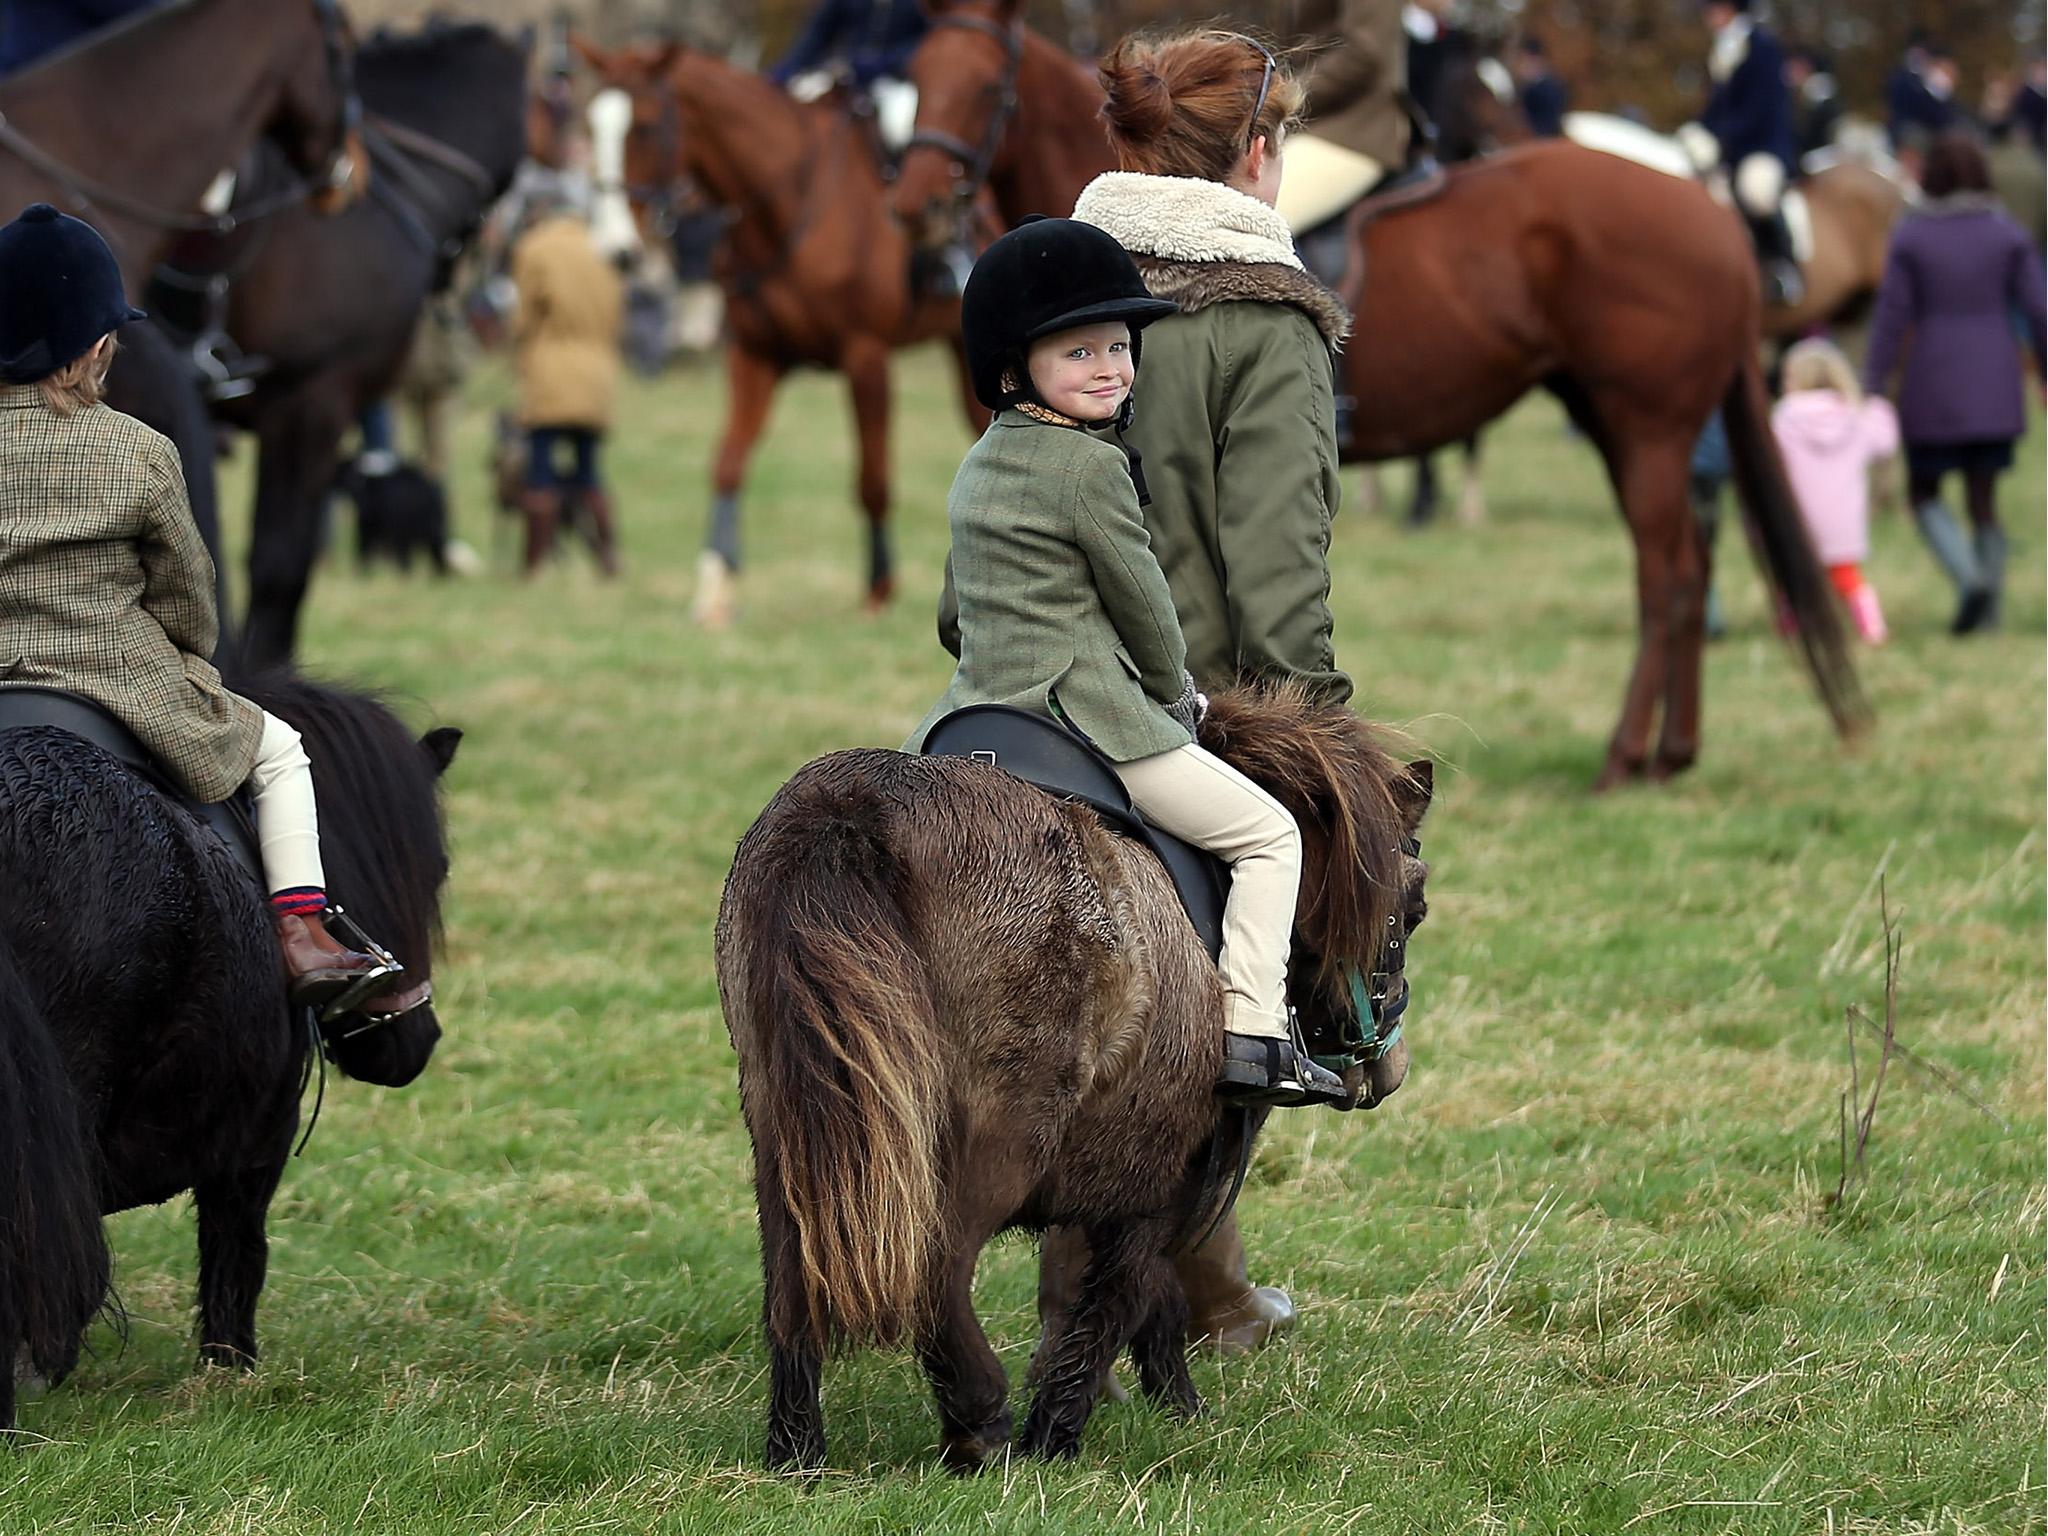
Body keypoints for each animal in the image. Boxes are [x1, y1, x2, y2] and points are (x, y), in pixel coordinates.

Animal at [569, 43, 983, 630]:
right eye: (590, 125)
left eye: (644, 128)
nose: (614, 249)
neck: (788, 209)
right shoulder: (755, 356)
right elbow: (727, 463)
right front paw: (715, 588)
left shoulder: (866, 359)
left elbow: (872, 480)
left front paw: (878, 591)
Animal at [729, 692, 1433, 1474]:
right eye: (1415, 907)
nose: (1389, 1067)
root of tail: (853, 810)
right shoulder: (1164, 1179)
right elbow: (1119, 1302)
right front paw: (1060, 1433)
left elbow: (1139, 1301)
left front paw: (1171, 1407)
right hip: (989, 1149)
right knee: (937, 1269)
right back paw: (981, 1424)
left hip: (792, 1134)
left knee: (792, 1277)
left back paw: (797, 1449)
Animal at [888, 0, 1867, 794]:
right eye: (916, 75)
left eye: (986, 84)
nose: (916, 209)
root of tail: (1712, 211)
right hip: (1613, 418)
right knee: (1687, 565)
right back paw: (1671, 754)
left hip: (1649, 423)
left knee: (1667, 577)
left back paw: (1627, 759)